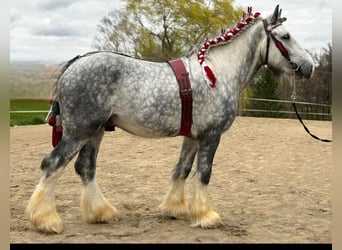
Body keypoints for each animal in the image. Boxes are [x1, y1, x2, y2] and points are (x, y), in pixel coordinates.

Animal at [26, 4, 316, 233]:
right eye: (285, 36)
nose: (309, 66)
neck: (218, 72)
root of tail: (73, 65)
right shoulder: (211, 135)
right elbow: (204, 173)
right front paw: (207, 216)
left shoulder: (192, 136)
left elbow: (182, 169)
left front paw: (175, 208)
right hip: (80, 131)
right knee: (53, 164)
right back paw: (46, 220)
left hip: (94, 132)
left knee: (85, 168)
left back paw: (101, 213)